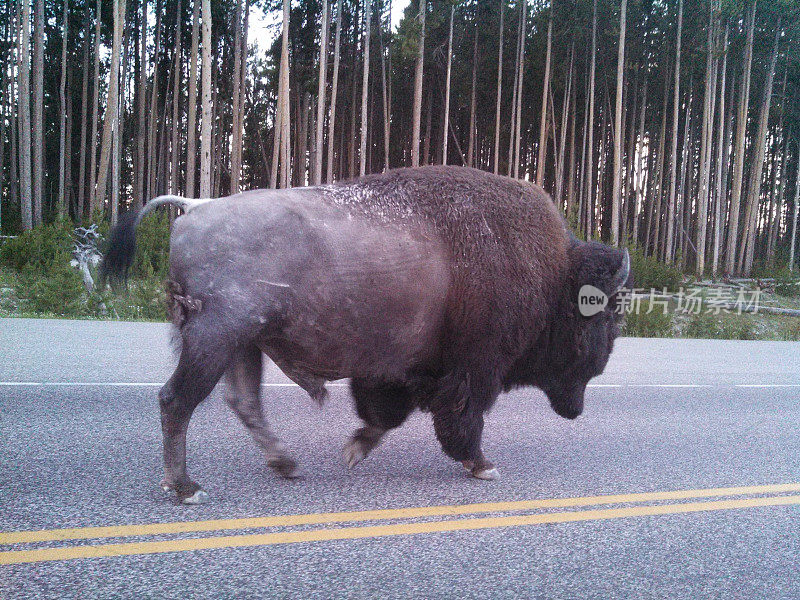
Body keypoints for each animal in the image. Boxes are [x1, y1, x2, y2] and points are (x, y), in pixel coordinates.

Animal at [101, 163, 632, 502]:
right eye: (604, 312)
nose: (577, 407)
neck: (554, 271)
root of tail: (195, 207)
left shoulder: (398, 369)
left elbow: (386, 415)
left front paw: (355, 450)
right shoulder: (474, 367)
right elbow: (460, 416)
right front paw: (482, 465)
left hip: (241, 343)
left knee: (243, 402)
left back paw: (285, 465)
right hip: (217, 337)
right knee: (178, 400)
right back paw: (185, 488)